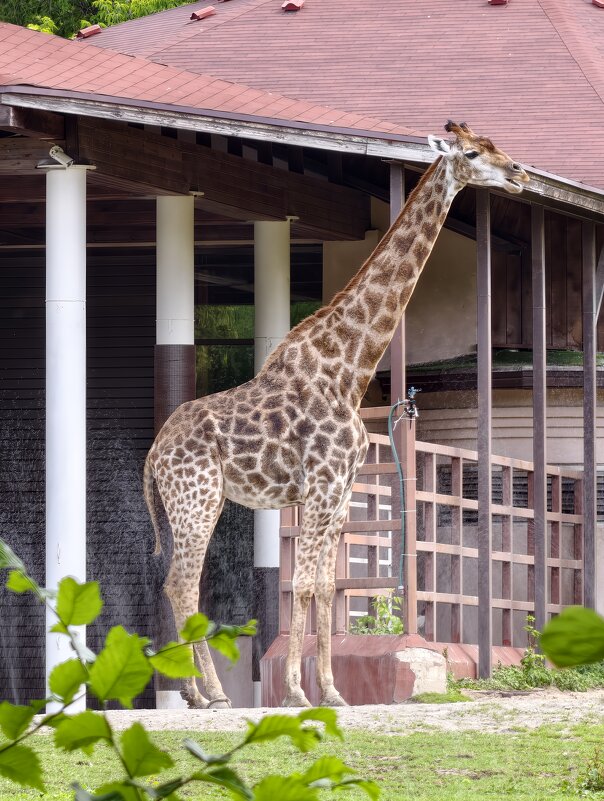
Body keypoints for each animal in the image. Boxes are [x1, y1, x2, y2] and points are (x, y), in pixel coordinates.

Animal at [144, 121, 530, 709]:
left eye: (494, 145)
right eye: (470, 153)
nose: (519, 173)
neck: (349, 368)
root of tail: (153, 453)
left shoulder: (342, 491)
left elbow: (328, 588)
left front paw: (331, 691)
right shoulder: (322, 485)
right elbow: (302, 585)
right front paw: (296, 693)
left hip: (190, 502)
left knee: (176, 583)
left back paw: (191, 691)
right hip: (198, 497)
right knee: (183, 584)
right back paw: (213, 694)